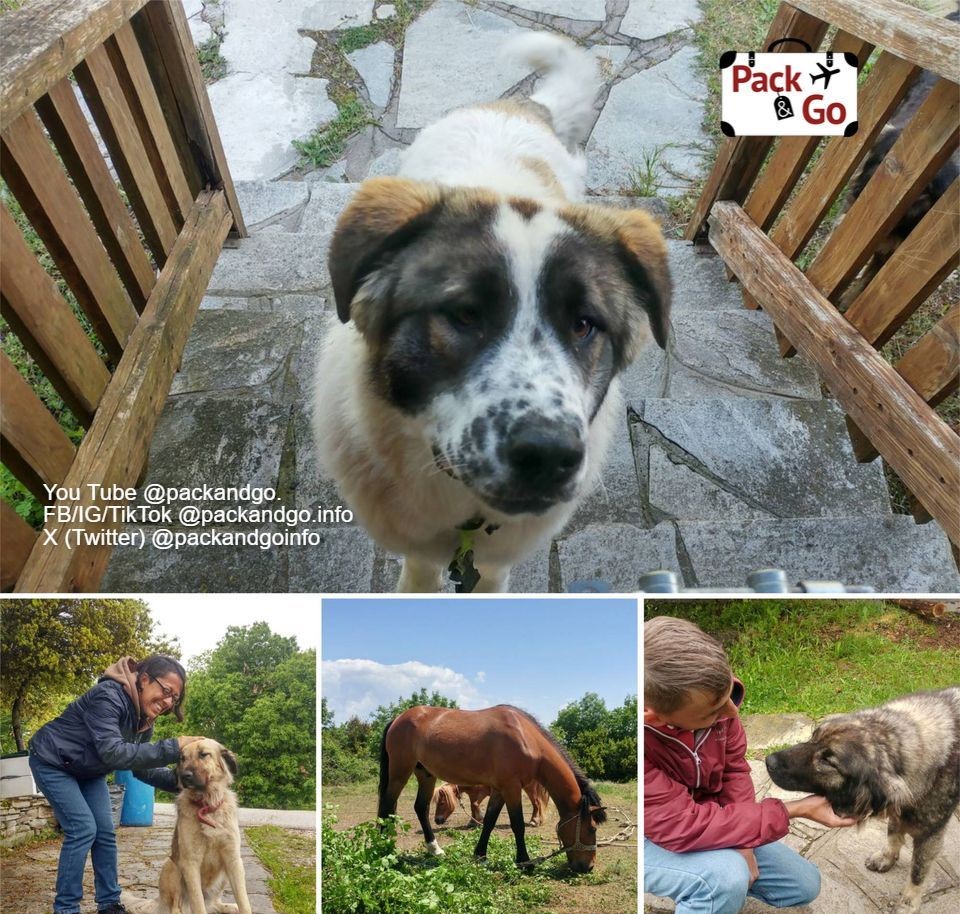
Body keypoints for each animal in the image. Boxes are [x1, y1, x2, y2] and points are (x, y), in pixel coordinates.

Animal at [316, 32, 668, 592]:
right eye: (464, 314)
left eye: (584, 325)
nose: (548, 455)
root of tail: (523, 105)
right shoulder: (419, 551)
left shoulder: (493, 564)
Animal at [378, 700, 604, 872]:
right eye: (592, 828)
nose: (589, 866)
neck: (525, 737)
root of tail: (398, 719)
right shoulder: (511, 788)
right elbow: (517, 825)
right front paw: (524, 862)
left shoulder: (499, 790)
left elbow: (489, 821)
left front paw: (480, 856)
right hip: (400, 772)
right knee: (387, 806)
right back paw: (384, 849)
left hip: (426, 774)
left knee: (421, 808)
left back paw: (434, 849)